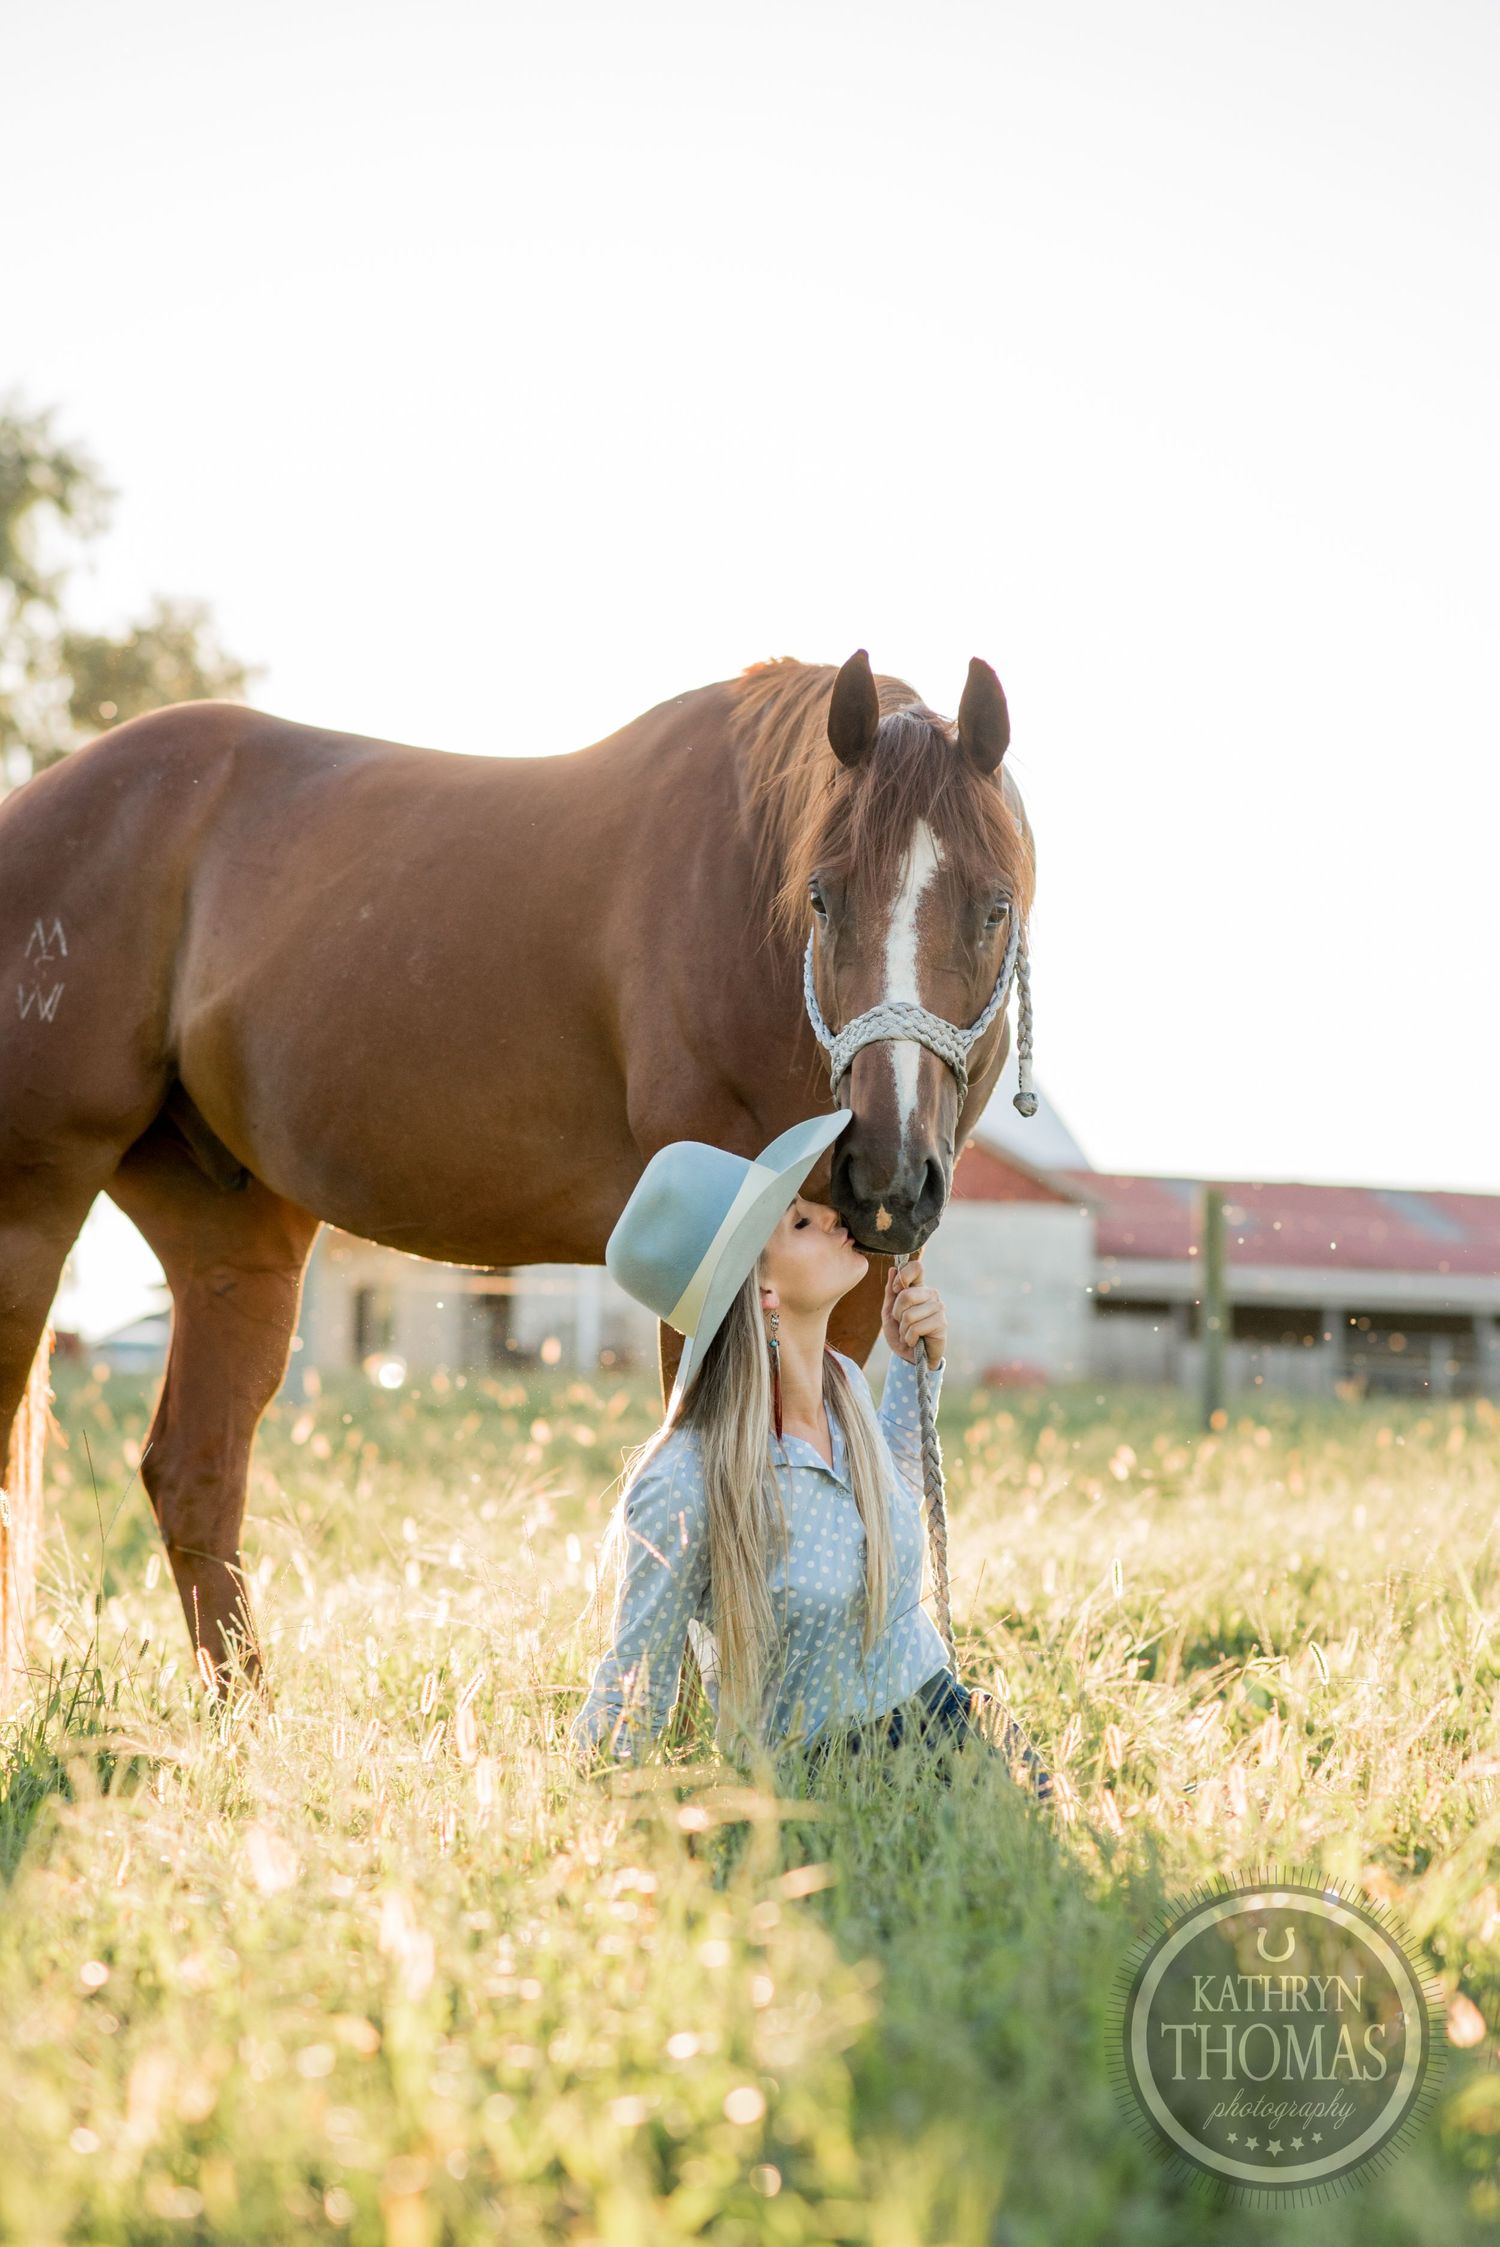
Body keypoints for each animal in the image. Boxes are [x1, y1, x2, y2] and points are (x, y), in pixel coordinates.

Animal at [0, 650, 1037, 1687]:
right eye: (821, 897)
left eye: (995, 906)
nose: (887, 1175)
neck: (742, 897)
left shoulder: (846, 1281)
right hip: (35, 1205)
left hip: (235, 1236)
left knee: (194, 1473)